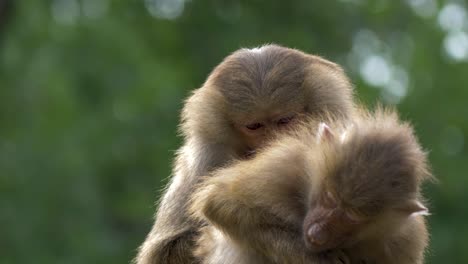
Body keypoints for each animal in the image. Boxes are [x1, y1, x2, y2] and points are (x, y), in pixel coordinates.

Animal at [190, 109, 432, 264]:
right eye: (330, 197)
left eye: (353, 216)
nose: (318, 232)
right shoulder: (285, 164)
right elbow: (219, 200)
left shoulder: (404, 242)